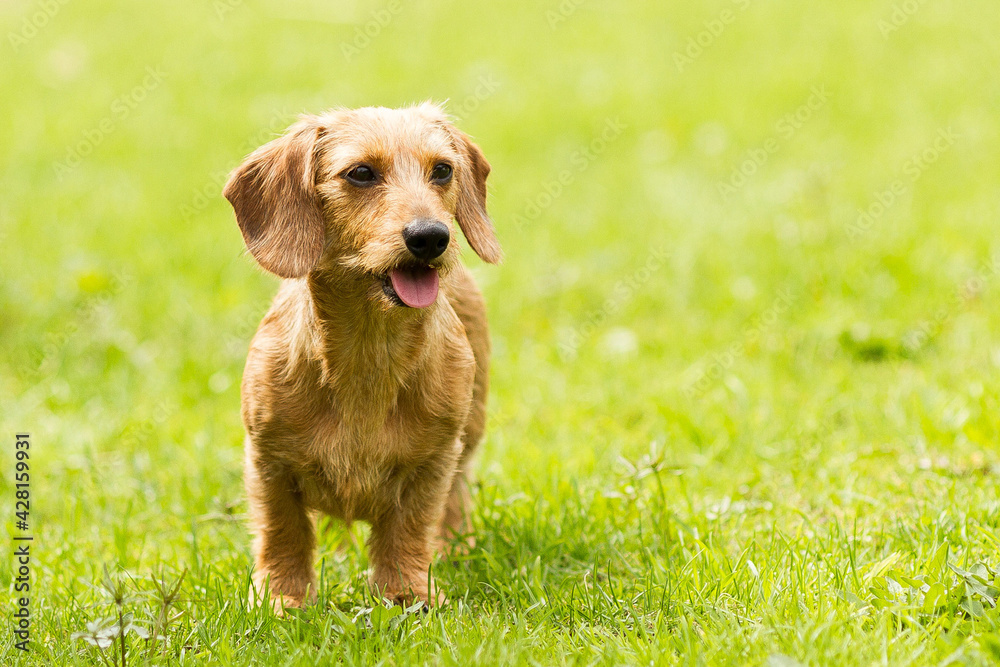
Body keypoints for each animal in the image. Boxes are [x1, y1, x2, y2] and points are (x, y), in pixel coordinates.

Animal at [221, 104, 498, 612]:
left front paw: (408, 596)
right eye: (361, 173)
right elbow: (283, 531)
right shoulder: (267, 460)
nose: (431, 237)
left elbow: (409, 530)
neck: (369, 353)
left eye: (443, 170)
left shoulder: (434, 463)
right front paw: (282, 599)